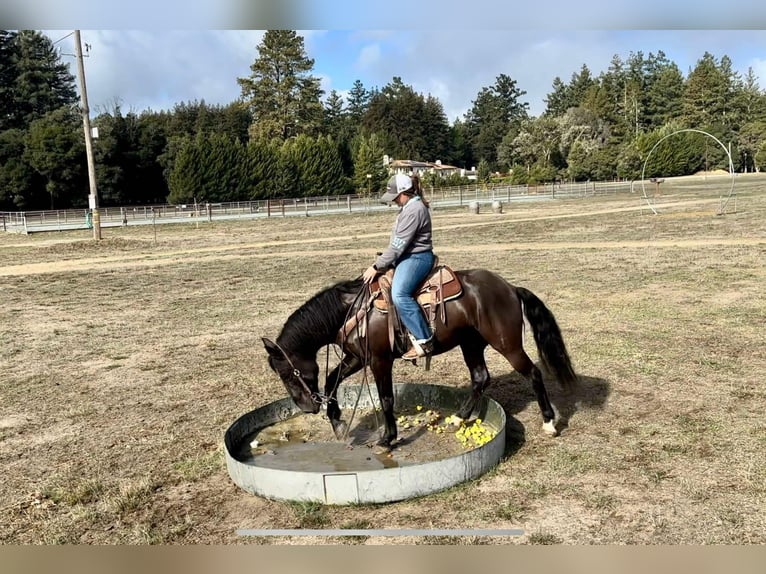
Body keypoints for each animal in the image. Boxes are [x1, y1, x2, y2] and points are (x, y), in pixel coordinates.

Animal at [260, 268, 580, 450]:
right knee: (480, 378)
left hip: (507, 344)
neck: (351, 309)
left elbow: (386, 398)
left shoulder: (379, 360)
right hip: (471, 344)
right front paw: (338, 422)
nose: (306, 408)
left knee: (533, 374)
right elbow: (330, 380)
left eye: (288, 373)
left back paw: (549, 423)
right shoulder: (356, 358)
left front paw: (388, 438)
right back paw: (458, 417)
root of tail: (510, 288)